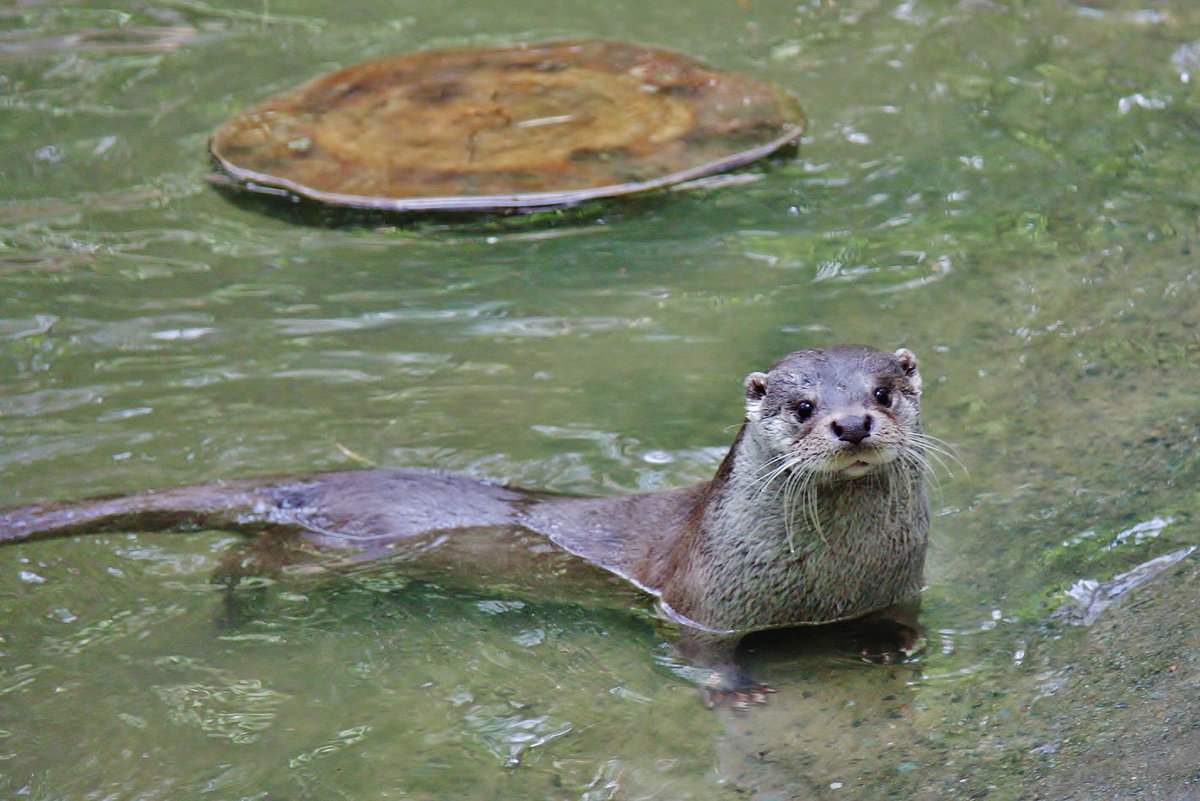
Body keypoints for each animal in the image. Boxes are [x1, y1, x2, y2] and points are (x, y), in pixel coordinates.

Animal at [0, 347, 931, 705]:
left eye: (883, 390)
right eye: (803, 405)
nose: (853, 423)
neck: (826, 587)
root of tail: (316, 481)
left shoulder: (901, 581)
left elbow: (903, 621)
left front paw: (887, 647)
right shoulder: (703, 600)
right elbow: (702, 656)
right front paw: (737, 690)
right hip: (333, 554)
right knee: (246, 554)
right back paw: (229, 603)